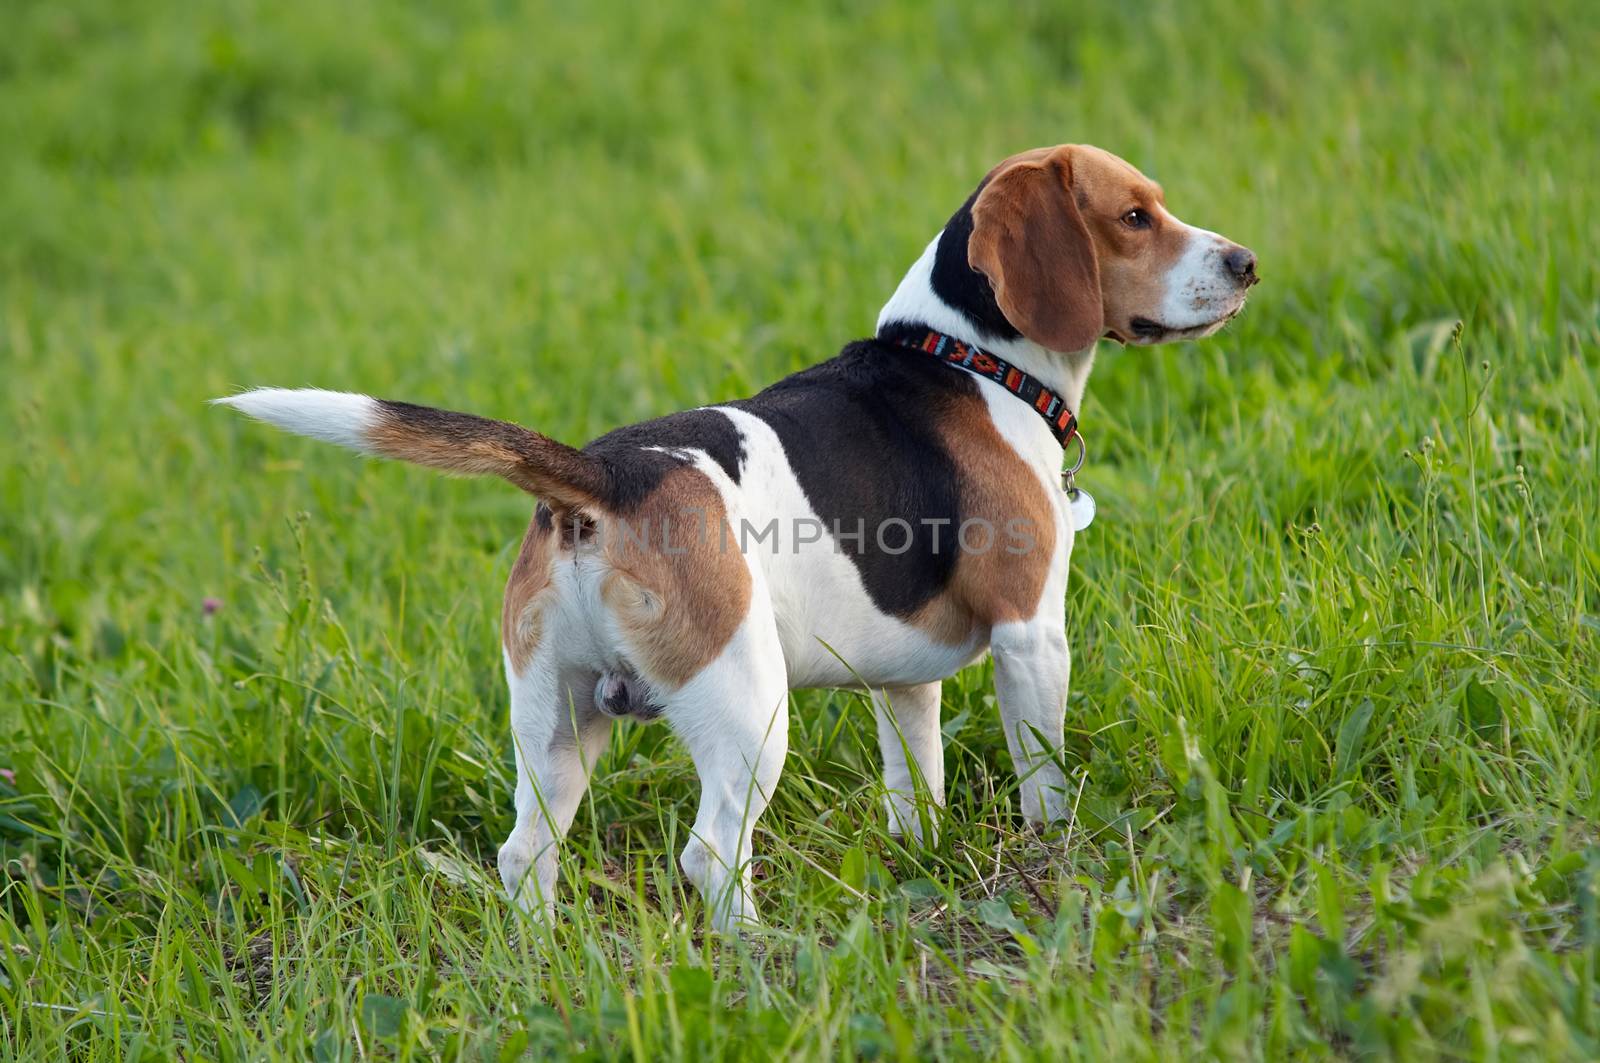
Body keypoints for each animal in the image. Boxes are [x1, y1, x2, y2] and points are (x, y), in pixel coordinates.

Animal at [216, 143, 1260, 928]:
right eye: (1135, 216)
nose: (1246, 262)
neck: (969, 358)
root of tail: (605, 479)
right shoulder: (1033, 634)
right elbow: (1043, 775)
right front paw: (1058, 858)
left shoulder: (903, 681)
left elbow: (913, 777)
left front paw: (921, 854)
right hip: (747, 706)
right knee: (712, 852)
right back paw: (763, 954)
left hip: (555, 720)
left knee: (524, 852)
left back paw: (543, 957)